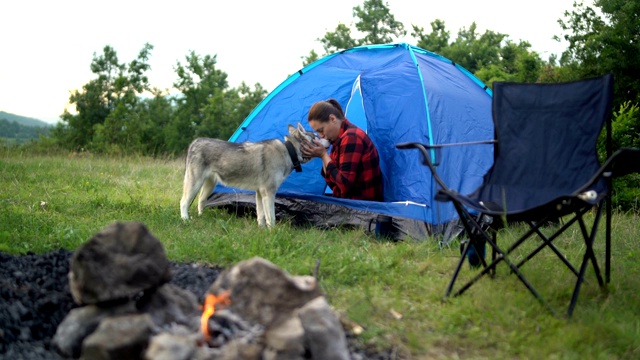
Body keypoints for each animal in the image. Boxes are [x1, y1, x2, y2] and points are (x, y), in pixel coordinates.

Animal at [180, 122, 330, 226]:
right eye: (317, 136)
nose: (329, 139)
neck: (288, 152)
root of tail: (195, 142)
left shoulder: (259, 193)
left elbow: (261, 216)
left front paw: (262, 231)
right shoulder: (268, 192)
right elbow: (271, 218)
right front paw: (273, 233)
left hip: (209, 185)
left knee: (200, 200)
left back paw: (201, 217)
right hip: (194, 184)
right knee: (184, 202)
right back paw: (185, 220)